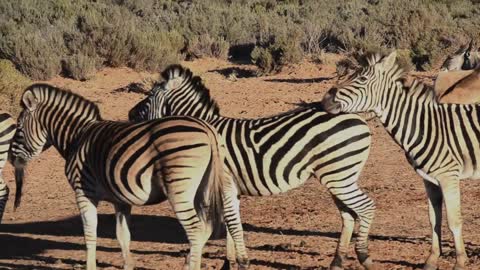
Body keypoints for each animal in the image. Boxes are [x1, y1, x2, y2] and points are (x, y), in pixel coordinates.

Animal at [9, 84, 249, 270]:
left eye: (18, 128)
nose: (11, 160)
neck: (77, 136)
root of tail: (207, 129)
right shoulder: (121, 199)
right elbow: (123, 235)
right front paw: (128, 265)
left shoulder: (83, 191)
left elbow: (89, 233)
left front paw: (90, 265)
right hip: (206, 187)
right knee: (210, 226)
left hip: (179, 190)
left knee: (196, 230)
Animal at [129, 64, 376, 268]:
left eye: (149, 95)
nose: (130, 114)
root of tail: (356, 117)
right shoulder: (231, 189)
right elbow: (231, 225)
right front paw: (228, 263)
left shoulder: (225, 184)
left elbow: (232, 225)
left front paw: (241, 262)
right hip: (338, 176)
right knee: (348, 215)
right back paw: (337, 261)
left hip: (338, 176)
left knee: (366, 207)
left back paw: (364, 255)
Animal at [318, 50, 480, 268]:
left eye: (361, 79)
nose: (324, 100)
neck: (424, 126)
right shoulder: (429, 180)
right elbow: (433, 220)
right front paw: (431, 259)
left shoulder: (449, 177)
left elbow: (454, 221)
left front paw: (460, 262)